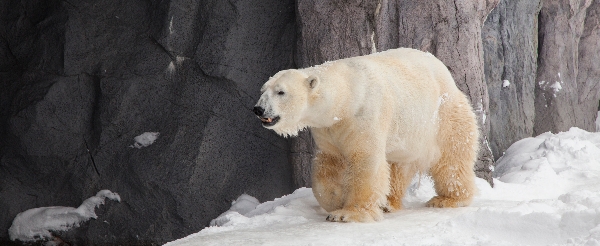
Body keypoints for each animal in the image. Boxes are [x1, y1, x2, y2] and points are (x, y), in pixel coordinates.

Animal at [253, 48, 478, 223]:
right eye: (263, 90)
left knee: (452, 158)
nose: (258, 109)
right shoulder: (329, 129)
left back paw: (448, 199)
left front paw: (347, 214)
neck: (346, 95)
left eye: (281, 92)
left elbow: (365, 162)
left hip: (443, 116)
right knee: (398, 165)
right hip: (407, 133)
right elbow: (329, 164)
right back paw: (388, 203)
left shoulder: (363, 115)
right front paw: (335, 201)